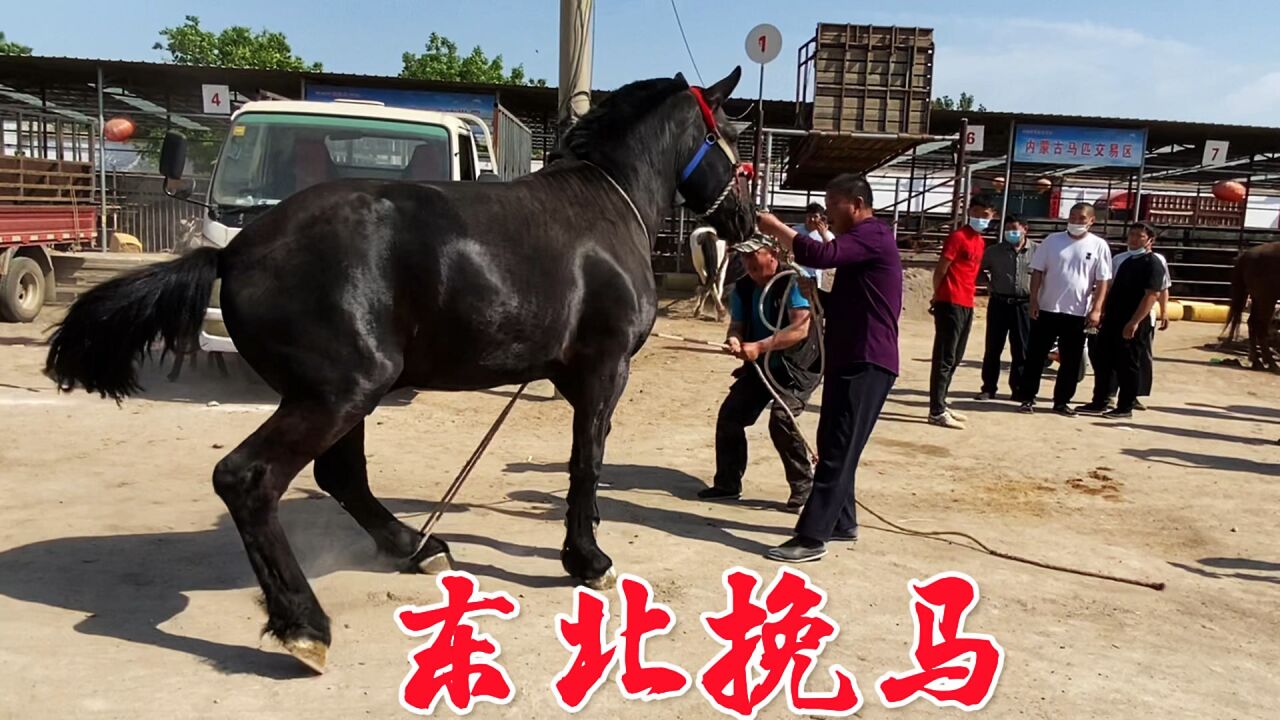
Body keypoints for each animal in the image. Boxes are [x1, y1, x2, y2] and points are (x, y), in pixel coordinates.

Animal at [45, 68, 752, 671]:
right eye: (728, 137)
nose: (744, 218)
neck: (603, 207)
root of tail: (239, 250)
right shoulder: (603, 373)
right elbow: (586, 463)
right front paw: (587, 560)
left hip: (344, 395)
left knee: (339, 476)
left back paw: (416, 547)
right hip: (339, 395)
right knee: (247, 478)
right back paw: (304, 626)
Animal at [1223, 240, 1280, 368]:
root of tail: (1245, 255)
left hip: (1257, 298)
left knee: (1252, 322)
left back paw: (1258, 362)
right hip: (1266, 298)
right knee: (1260, 325)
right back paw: (1271, 364)